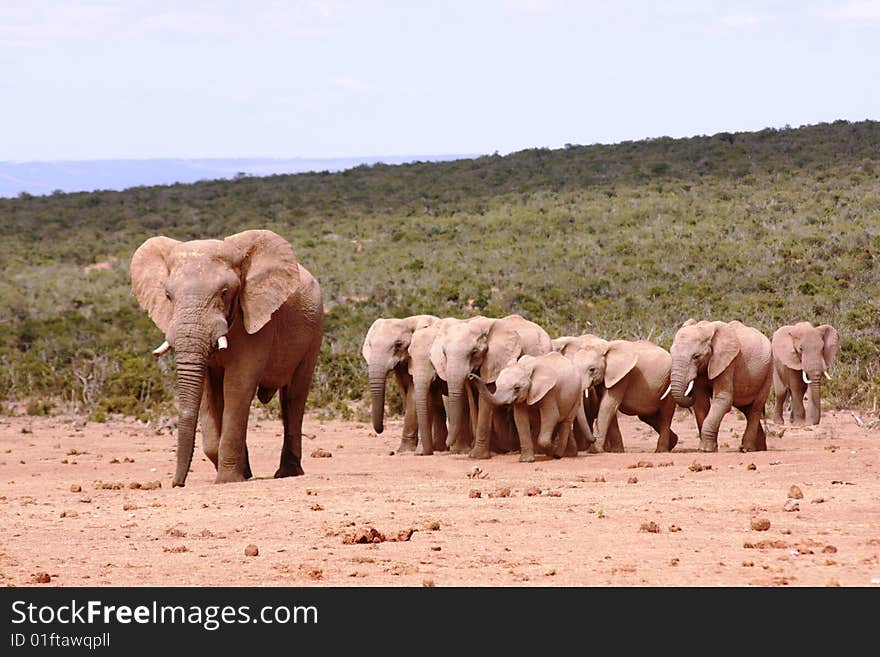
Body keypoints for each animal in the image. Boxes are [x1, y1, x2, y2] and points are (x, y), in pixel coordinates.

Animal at [129, 228, 324, 484]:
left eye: (224, 293)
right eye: (168, 296)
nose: (176, 484)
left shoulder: (257, 320)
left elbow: (237, 384)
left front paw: (228, 479)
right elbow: (207, 392)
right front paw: (242, 473)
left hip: (314, 334)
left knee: (293, 396)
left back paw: (287, 473)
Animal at [360, 314, 438, 452]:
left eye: (398, 344)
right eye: (370, 344)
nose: (381, 430)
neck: (407, 320)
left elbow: (413, 397)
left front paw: (404, 451)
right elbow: (405, 395)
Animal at [428, 314, 552, 458]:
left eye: (474, 352)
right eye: (444, 353)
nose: (471, 375)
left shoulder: (494, 361)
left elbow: (484, 400)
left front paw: (477, 456)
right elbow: (472, 399)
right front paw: (475, 452)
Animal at [668, 318, 768, 452]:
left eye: (696, 357)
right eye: (670, 353)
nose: (689, 392)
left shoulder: (728, 363)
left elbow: (723, 400)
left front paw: (706, 449)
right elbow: (701, 403)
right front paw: (707, 448)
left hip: (768, 372)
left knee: (755, 408)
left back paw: (747, 449)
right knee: (747, 409)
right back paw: (760, 449)